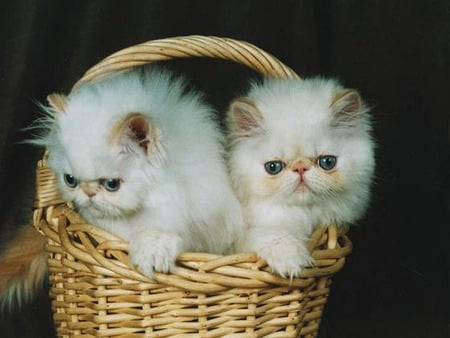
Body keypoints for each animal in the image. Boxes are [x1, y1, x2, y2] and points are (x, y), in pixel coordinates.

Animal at [227, 76, 374, 278]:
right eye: (273, 167)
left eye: (327, 162)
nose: (300, 168)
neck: (301, 216)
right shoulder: (241, 240)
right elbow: (270, 235)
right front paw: (291, 261)